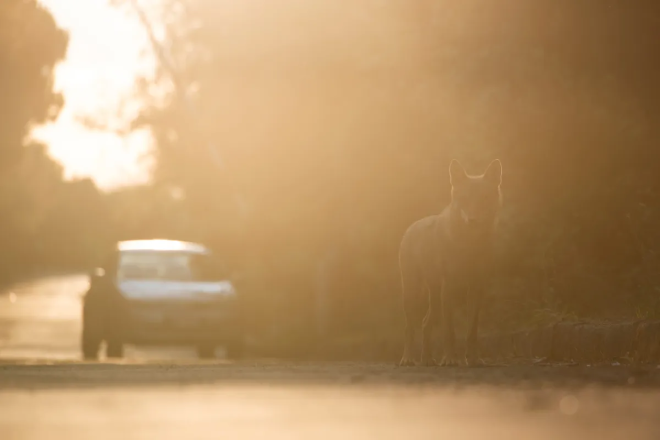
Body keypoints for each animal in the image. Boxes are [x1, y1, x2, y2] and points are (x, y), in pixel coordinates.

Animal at [400, 159, 502, 368]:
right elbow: (450, 331)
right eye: (465, 199)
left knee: (425, 324)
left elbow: (472, 331)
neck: (469, 247)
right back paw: (408, 358)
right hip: (414, 293)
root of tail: (411, 226)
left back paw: (427, 359)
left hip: (435, 297)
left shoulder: (476, 287)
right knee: (410, 327)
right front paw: (450, 359)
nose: (472, 220)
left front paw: (473, 359)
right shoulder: (450, 287)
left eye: (484, 198)